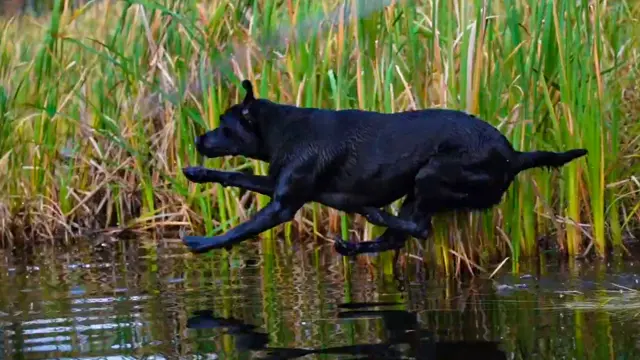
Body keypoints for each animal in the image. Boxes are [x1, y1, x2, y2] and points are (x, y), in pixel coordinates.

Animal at [180, 81, 584, 256]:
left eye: (225, 125)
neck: (284, 131)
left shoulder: (283, 206)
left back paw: (372, 214)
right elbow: (235, 175)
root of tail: (514, 154)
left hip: (431, 174)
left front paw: (203, 243)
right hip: (419, 189)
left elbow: (238, 230)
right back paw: (354, 244)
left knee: (418, 229)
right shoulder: (279, 184)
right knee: (398, 238)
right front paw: (198, 173)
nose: (199, 140)